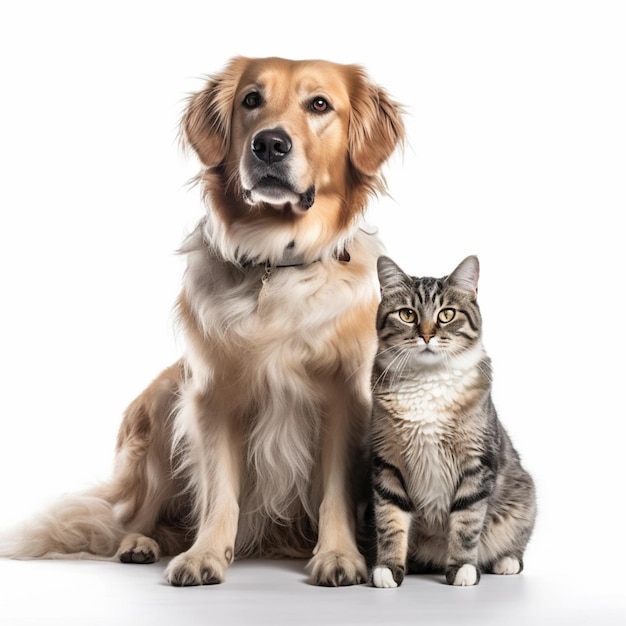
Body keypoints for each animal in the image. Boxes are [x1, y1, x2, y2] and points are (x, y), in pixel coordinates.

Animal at [2, 56, 404, 584]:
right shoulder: (213, 396)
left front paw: (338, 555)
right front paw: (205, 555)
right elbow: (220, 492)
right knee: (136, 517)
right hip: (161, 411)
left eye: (320, 104)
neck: (276, 264)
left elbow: (334, 492)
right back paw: (140, 545)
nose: (269, 144)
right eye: (251, 100)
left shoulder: (344, 396)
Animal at [368, 254, 532, 584]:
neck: (428, 381)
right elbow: (390, 521)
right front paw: (388, 568)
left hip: (523, 500)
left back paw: (506, 561)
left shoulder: (476, 463)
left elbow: (467, 522)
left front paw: (463, 568)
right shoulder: (387, 462)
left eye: (446, 314)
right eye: (407, 314)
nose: (427, 335)